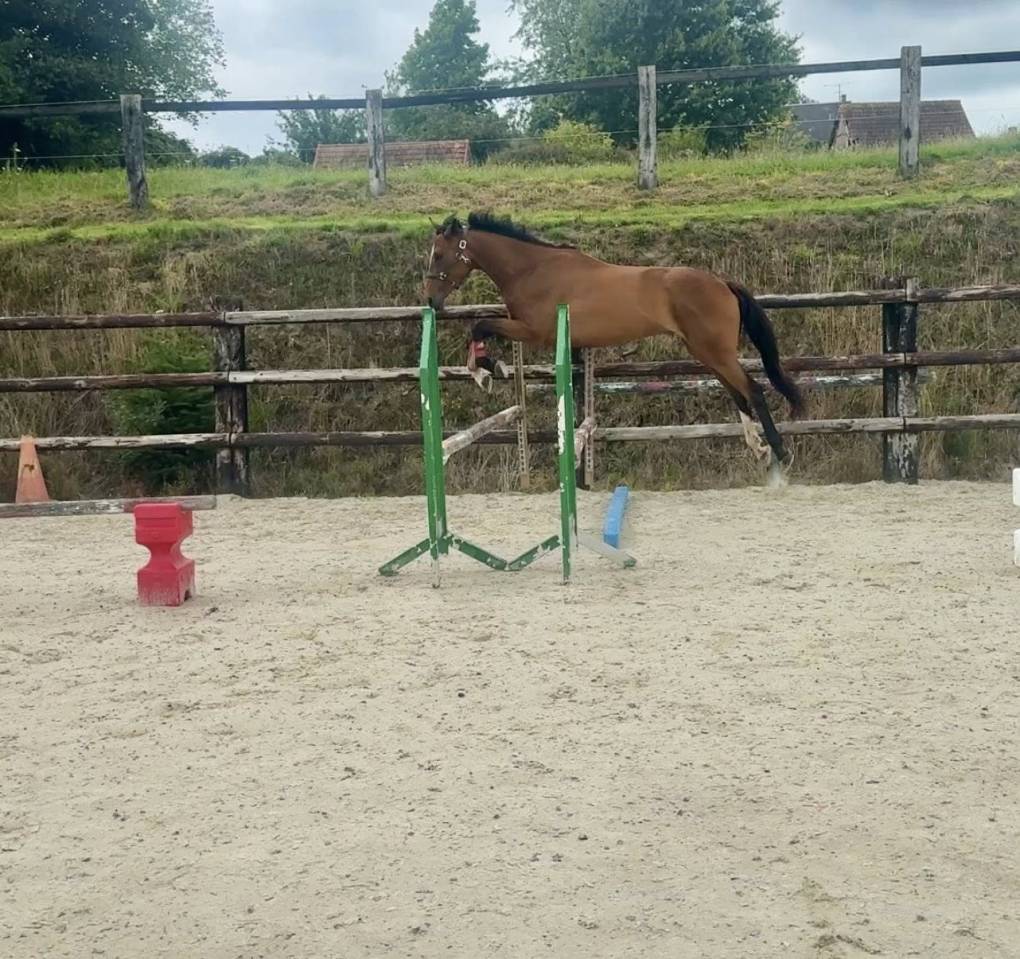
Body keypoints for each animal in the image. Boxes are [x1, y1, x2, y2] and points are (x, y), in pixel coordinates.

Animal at [423, 211, 804, 480]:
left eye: (439, 254)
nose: (431, 302)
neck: (533, 270)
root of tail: (722, 282)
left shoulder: (533, 331)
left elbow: (480, 325)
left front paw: (485, 372)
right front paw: (489, 368)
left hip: (716, 352)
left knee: (753, 389)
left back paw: (781, 455)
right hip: (704, 352)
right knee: (738, 393)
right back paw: (759, 449)